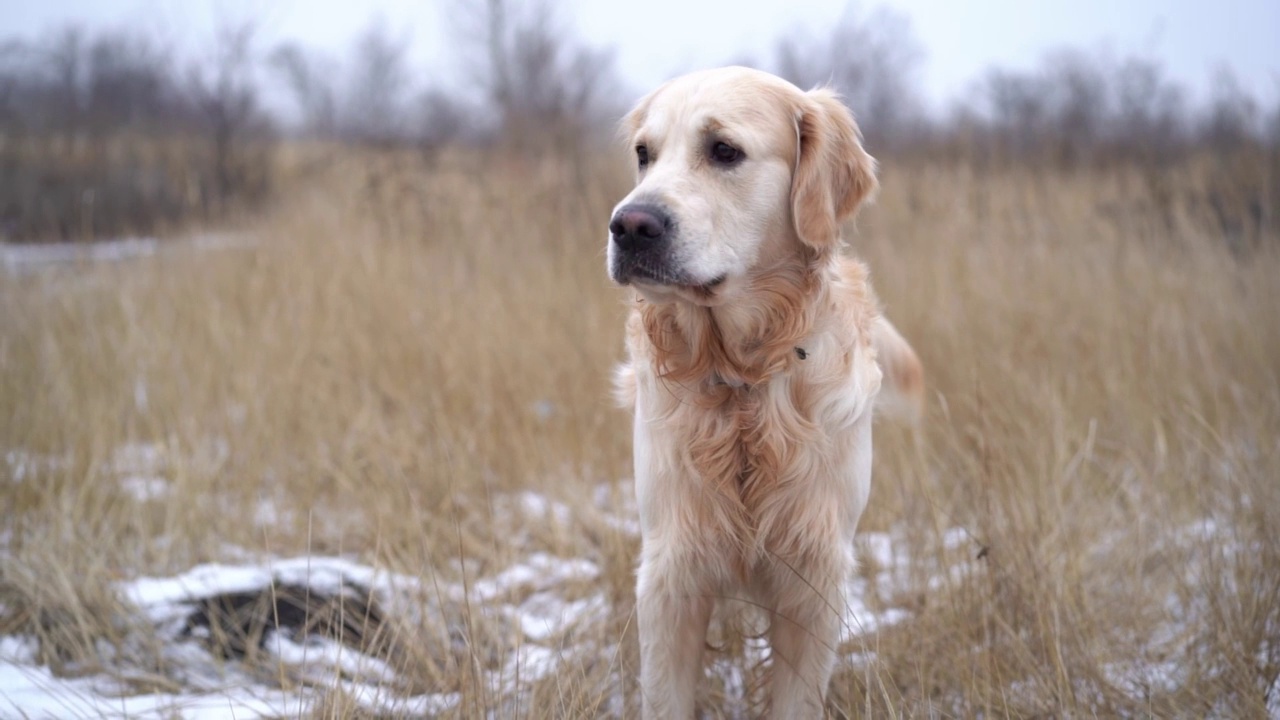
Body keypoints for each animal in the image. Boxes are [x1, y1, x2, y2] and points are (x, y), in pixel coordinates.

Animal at [606, 65, 921, 712]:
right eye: (644, 154)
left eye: (724, 151)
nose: (628, 226)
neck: (742, 380)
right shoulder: (671, 572)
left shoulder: (815, 575)